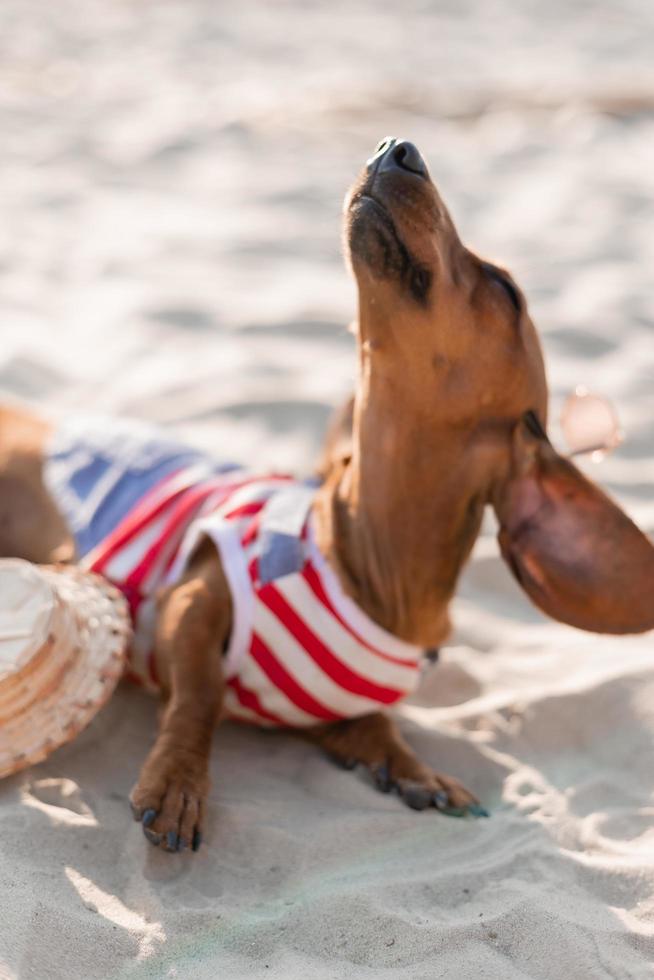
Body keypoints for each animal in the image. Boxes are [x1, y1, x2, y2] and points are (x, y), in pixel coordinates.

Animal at [1, 138, 654, 848]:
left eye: (506, 290)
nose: (399, 148)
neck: (370, 564)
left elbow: (372, 723)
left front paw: (411, 768)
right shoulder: (193, 596)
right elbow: (199, 697)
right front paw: (177, 782)